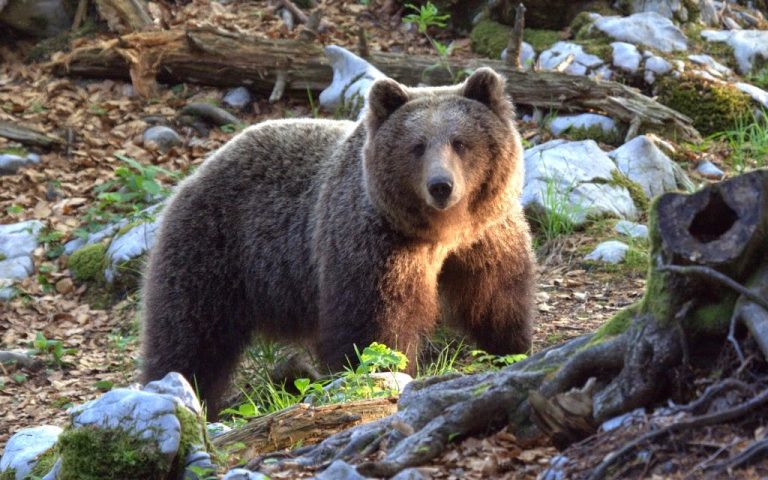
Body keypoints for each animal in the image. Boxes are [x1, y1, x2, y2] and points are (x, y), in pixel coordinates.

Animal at [140, 66, 536, 416]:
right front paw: (382, 373)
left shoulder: (485, 238)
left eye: (460, 142)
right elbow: (375, 327)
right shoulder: (376, 244)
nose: (441, 185)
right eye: (417, 146)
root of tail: (193, 174)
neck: (441, 233)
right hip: (214, 250)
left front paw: (511, 348)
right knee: (190, 336)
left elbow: (496, 296)